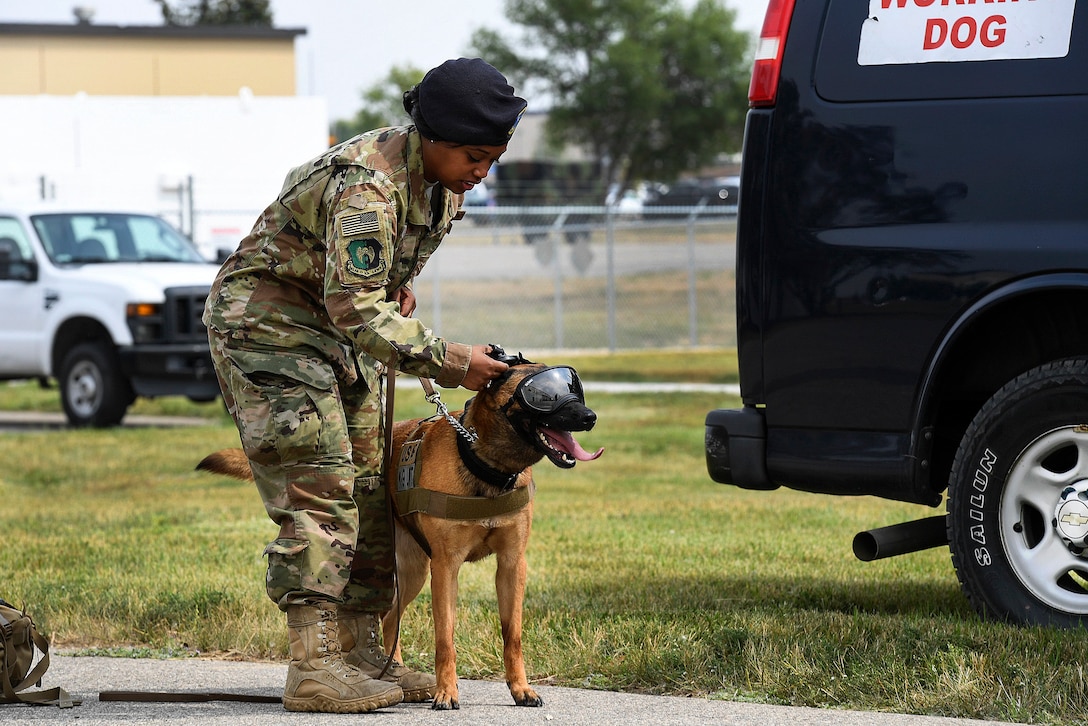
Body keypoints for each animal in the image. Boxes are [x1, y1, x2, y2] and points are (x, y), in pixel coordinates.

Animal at [198, 350, 604, 709]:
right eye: (543, 395)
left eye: (573, 388)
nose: (590, 416)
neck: (483, 465)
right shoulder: (446, 568)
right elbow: (445, 638)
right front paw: (447, 693)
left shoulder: (511, 565)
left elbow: (512, 636)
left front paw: (521, 689)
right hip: (404, 569)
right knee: (376, 614)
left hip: (408, 575)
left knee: (388, 618)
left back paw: (394, 673)